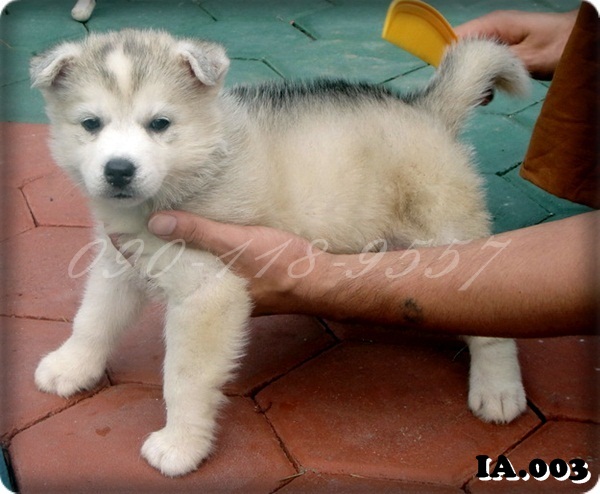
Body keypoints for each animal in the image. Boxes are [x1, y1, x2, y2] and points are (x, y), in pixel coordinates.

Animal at [30, 29, 530, 477]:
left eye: (159, 124)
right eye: (90, 124)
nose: (118, 170)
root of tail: (426, 109)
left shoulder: (208, 292)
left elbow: (184, 376)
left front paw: (181, 444)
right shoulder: (119, 261)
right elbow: (93, 318)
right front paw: (72, 365)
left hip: (448, 235)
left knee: (492, 322)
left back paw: (498, 388)